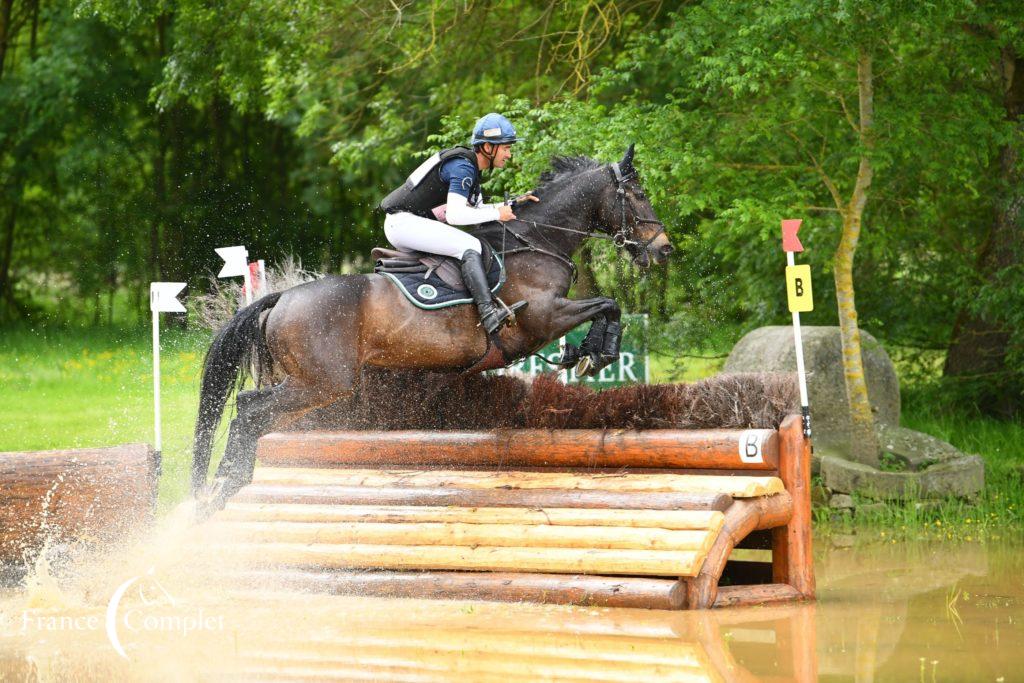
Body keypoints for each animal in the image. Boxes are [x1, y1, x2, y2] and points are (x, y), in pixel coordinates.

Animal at [191, 143, 671, 507]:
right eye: (637, 194)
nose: (664, 249)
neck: (538, 241)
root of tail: (282, 298)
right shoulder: (543, 317)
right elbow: (608, 304)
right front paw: (596, 352)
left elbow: (608, 308)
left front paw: (585, 352)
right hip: (323, 383)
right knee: (250, 410)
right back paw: (226, 485)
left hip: (305, 384)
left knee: (253, 413)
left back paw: (225, 487)